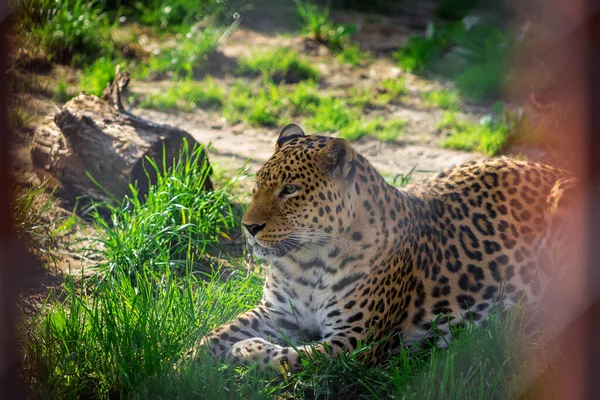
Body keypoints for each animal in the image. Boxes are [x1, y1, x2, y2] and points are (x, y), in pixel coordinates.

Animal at [188, 123, 572, 374]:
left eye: (290, 190)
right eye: (256, 186)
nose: (248, 227)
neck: (308, 262)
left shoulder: (356, 341)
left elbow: (290, 357)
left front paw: (245, 350)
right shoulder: (278, 313)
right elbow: (218, 333)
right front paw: (181, 365)